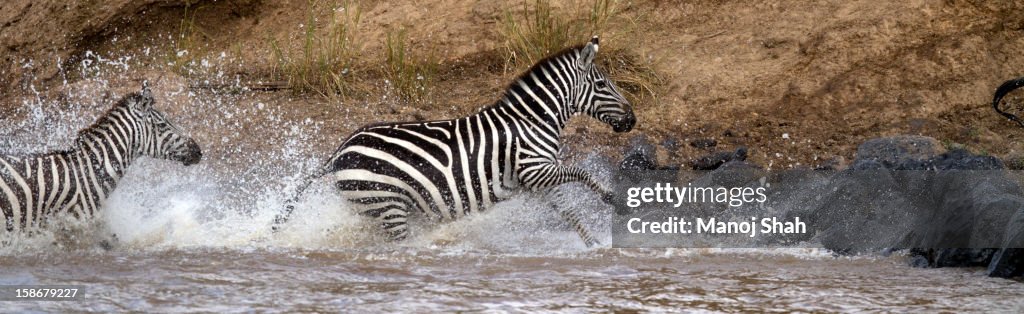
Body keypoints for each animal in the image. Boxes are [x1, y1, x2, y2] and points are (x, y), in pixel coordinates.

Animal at [276, 36, 634, 247]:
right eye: (603, 85)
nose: (633, 120)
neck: (531, 120)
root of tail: (340, 150)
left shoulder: (540, 180)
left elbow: (570, 212)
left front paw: (594, 248)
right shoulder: (535, 169)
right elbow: (582, 173)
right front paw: (611, 197)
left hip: (377, 207)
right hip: (387, 204)